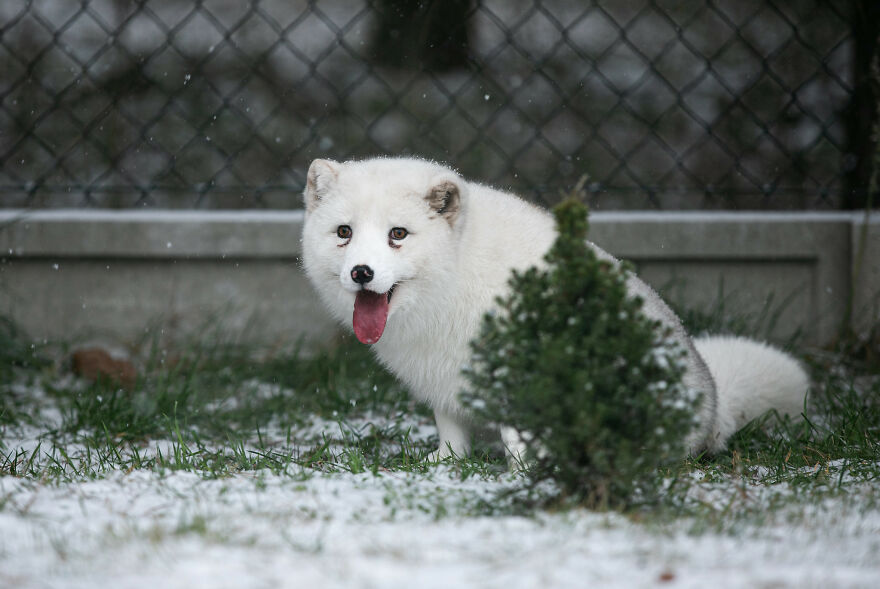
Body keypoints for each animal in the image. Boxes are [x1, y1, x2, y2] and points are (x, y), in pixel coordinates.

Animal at [300, 156, 809, 460]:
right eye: (344, 232)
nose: (361, 272)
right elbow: (452, 433)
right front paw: (446, 465)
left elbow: (517, 434)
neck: (456, 280)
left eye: (398, 234)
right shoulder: (443, 379)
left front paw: (524, 472)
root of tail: (715, 405)